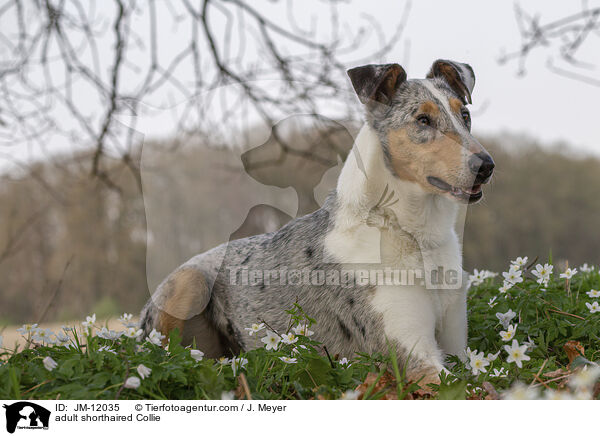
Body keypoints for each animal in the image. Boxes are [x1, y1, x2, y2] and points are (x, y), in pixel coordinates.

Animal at [139, 58, 492, 384]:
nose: (486, 165)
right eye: (422, 120)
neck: (413, 234)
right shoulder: (412, 357)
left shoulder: (458, 347)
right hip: (190, 283)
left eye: (465, 115)